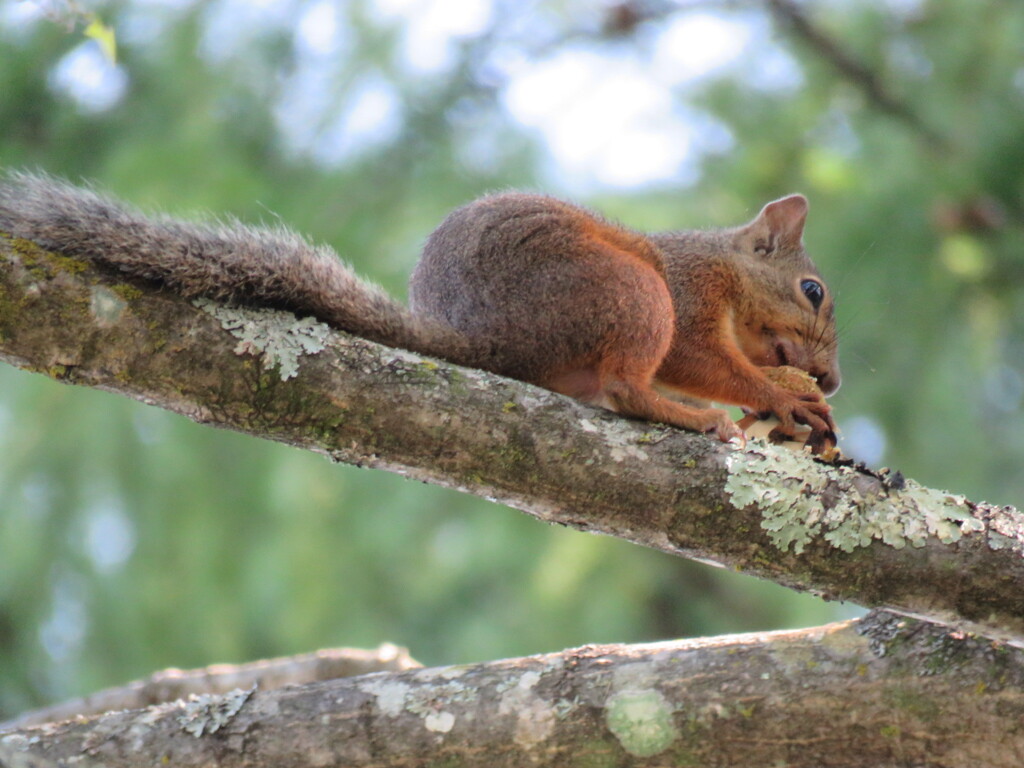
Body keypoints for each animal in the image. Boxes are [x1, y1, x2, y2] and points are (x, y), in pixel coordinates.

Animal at [0, 173, 839, 450]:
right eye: (813, 291)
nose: (830, 380)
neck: (727, 269)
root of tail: (487, 341)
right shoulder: (690, 295)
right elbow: (699, 360)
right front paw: (777, 395)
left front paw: (791, 397)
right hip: (628, 292)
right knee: (629, 387)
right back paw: (692, 418)